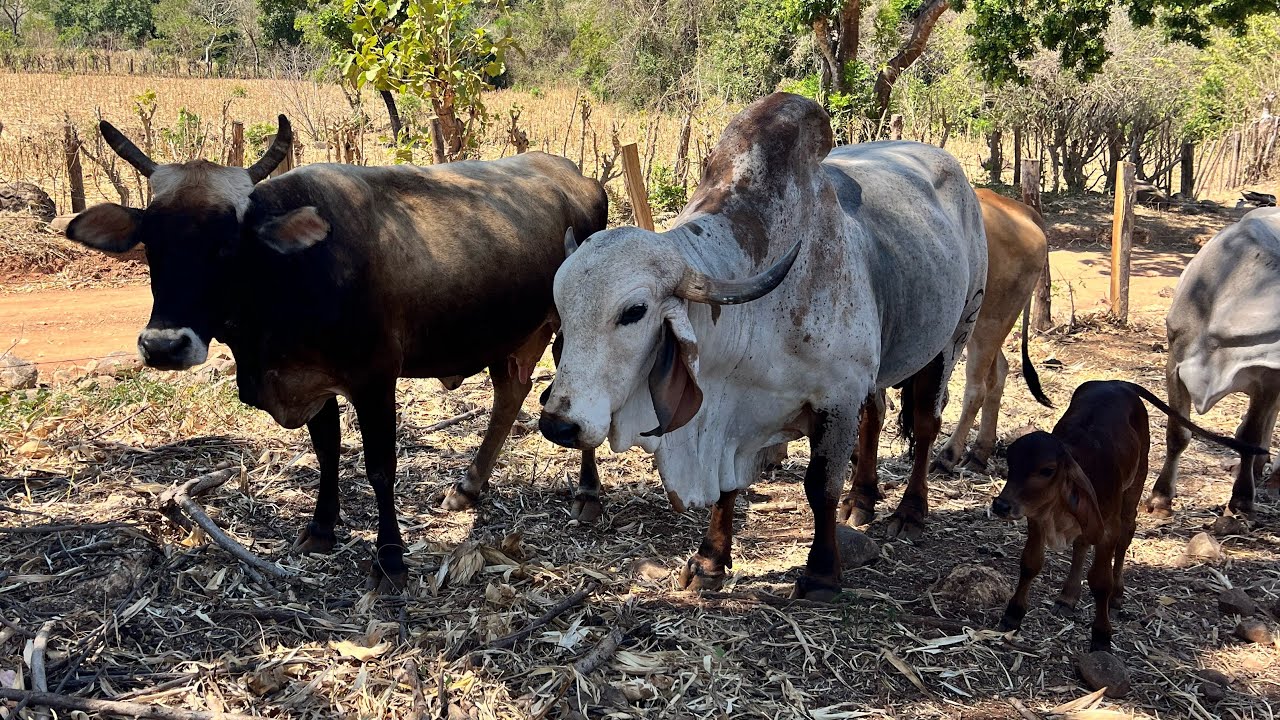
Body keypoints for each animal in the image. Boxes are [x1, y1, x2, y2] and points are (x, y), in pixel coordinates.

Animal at [63, 116, 608, 591]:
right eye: (151, 242)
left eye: (227, 243)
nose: (164, 346)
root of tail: (577, 176)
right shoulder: (312, 381)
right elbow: (327, 451)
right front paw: (321, 528)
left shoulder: (374, 379)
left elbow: (380, 467)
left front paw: (390, 559)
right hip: (509, 336)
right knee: (509, 393)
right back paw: (470, 486)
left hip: (572, 332)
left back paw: (588, 493)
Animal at [537, 93, 986, 599]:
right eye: (562, 308)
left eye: (633, 311)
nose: (558, 424)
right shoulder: (737, 413)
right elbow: (728, 486)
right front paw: (710, 560)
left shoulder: (838, 396)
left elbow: (820, 487)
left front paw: (821, 573)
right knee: (875, 416)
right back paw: (862, 499)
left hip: (954, 335)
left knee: (927, 424)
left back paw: (909, 513)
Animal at [992, 380, 1265, 651]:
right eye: (1010, 462)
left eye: (1047, 470)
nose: (1001, 505)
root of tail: (1114, 382)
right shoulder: (1038, 519)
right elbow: (1030, 564)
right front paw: (1013, 614)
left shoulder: (1106, 529)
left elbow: (1100, 582)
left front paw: (1102, 635)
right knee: (1082, 544)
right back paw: (1068, 596)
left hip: (1133, 489)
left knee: (1125, 538)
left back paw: (1116, 595)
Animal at [1146, 207, 1280, 519]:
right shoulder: (1176, 362)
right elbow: (1177, 432)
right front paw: (1160, 498)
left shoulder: (1268, 379)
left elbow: (1250, 436)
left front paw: (1241, 500)